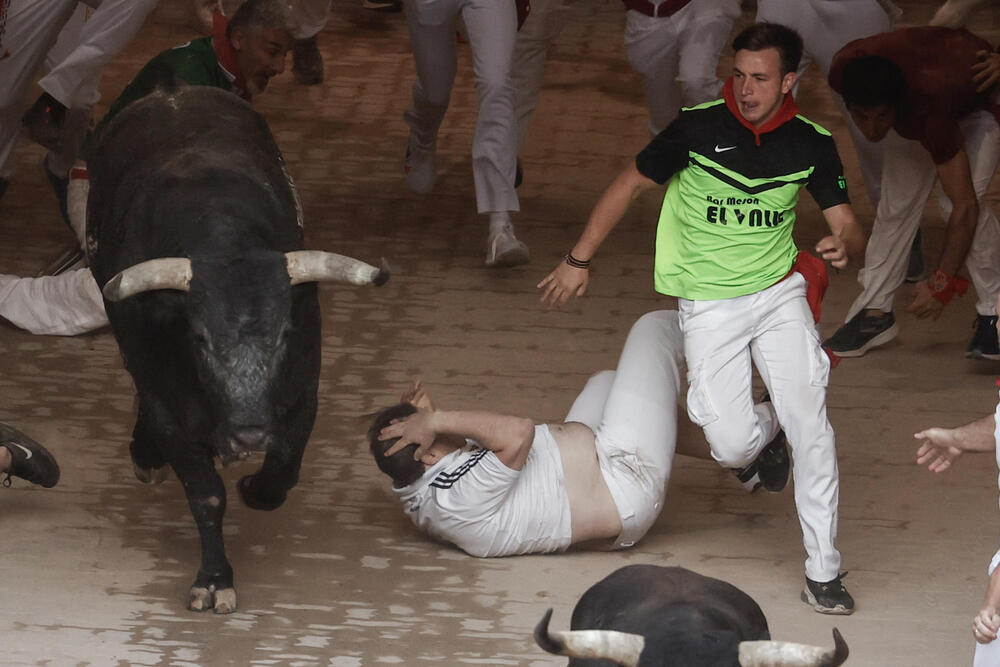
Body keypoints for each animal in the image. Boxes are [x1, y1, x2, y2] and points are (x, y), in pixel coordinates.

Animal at [88, 87, 388, 616]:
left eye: (284, 334)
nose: (249, 433)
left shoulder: (302, 393)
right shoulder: (170, 410)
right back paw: (145, 455)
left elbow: (283, 468)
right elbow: (206, 495)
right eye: (200, 339)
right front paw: (213, 579)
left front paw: (256, 488)